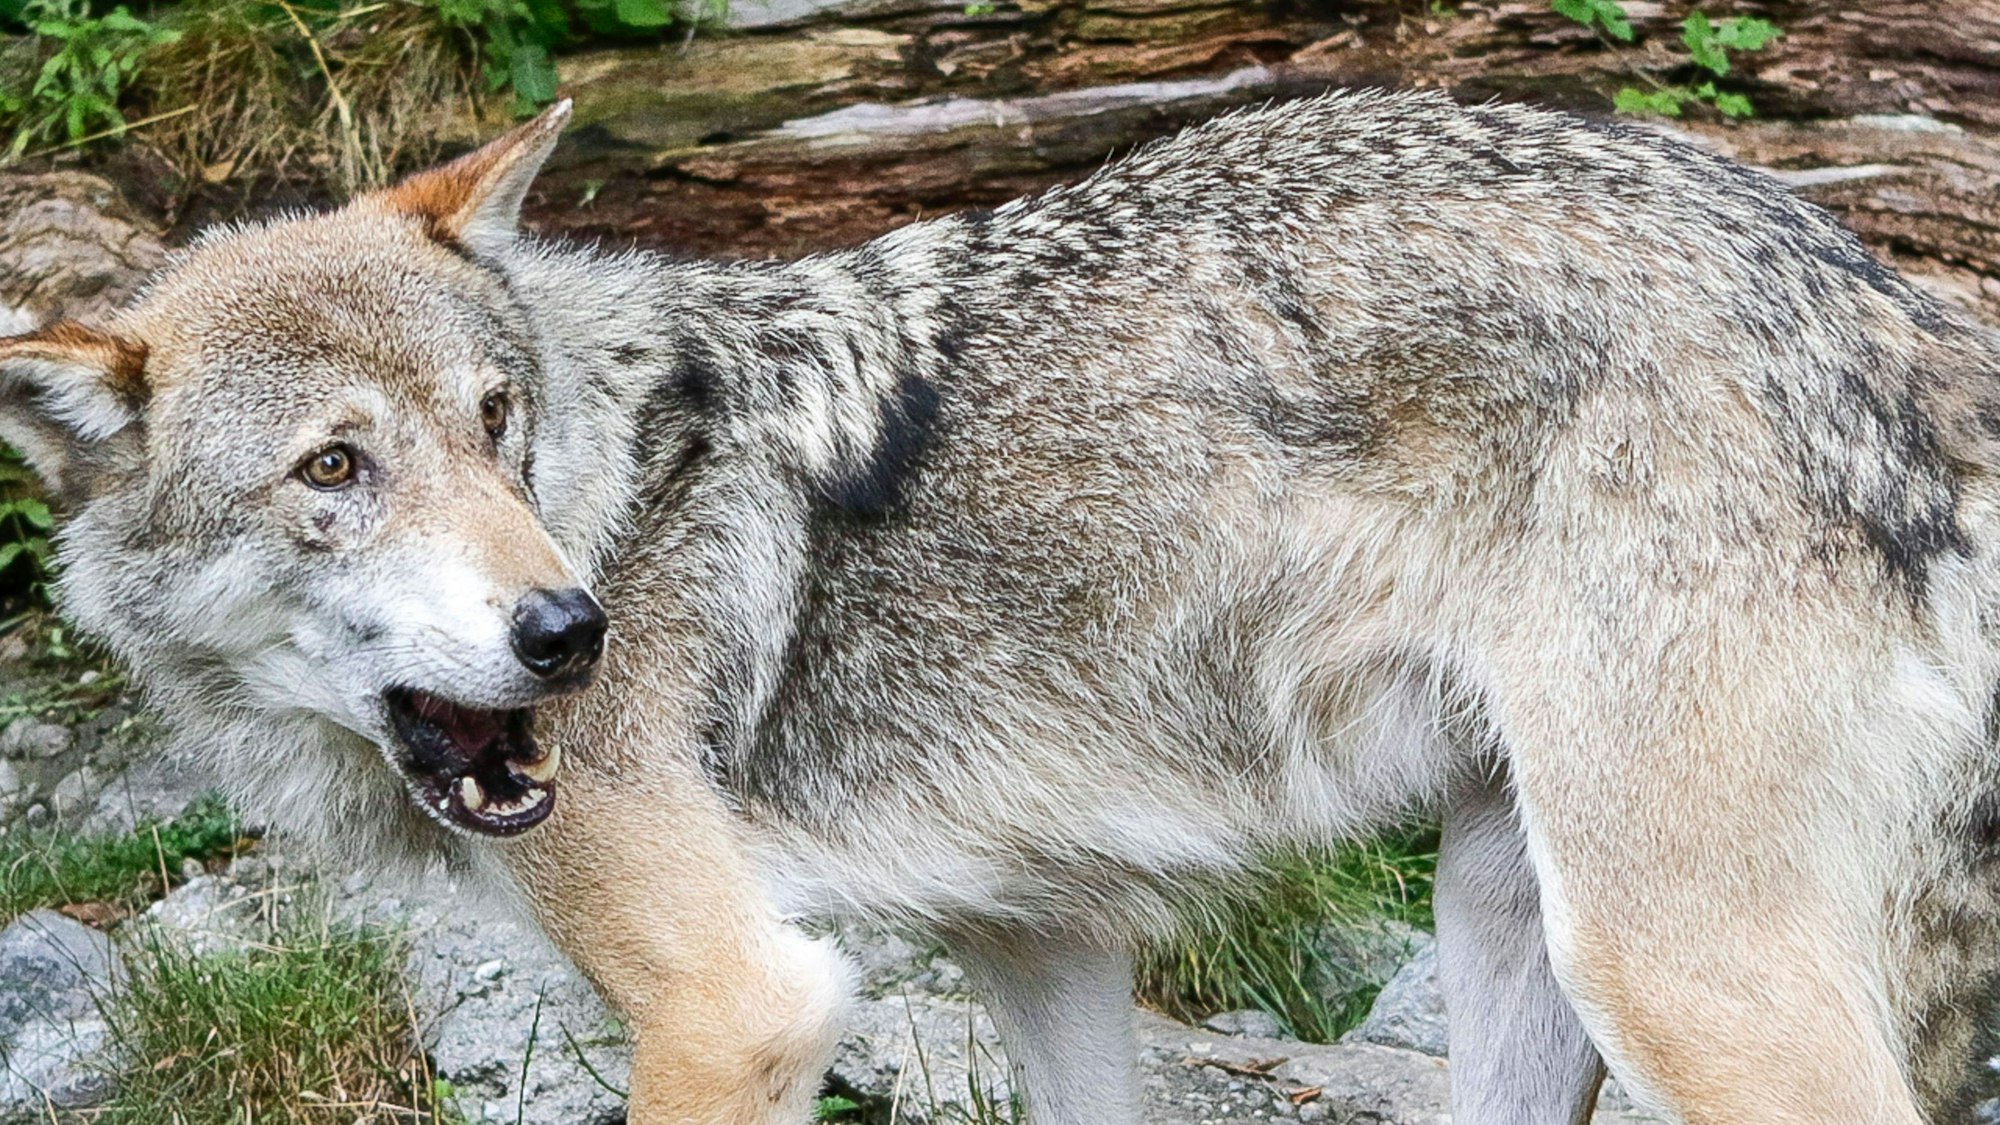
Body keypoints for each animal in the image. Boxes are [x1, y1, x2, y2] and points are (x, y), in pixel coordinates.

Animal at [4, 87, 2000, 1124]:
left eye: (494, 422)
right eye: (334, 469)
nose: (569, 633)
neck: (612, 487)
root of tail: (1887, 302)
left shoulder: (742, 1000)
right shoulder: (1040, 938)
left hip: (1672, 977)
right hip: (1523, 925)